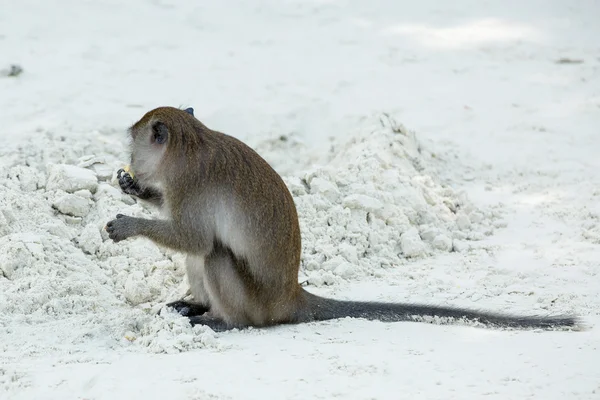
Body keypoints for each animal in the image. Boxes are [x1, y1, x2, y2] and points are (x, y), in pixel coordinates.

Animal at [105, 105, 580, 332]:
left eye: (134, 145)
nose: (131, 163)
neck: (190, 144)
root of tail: (289, 296)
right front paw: (135, 190)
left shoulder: (190, 184)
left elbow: (195, 238)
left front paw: (127, 223)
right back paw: (196, 304)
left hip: (255, 301)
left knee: (215, 254)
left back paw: (223, 320)